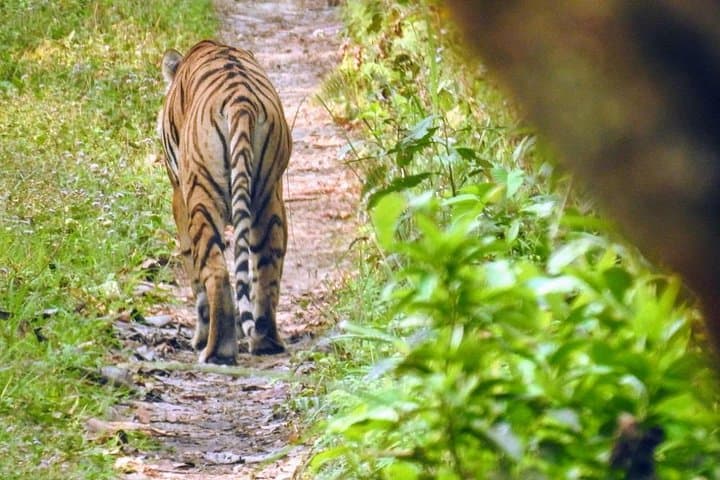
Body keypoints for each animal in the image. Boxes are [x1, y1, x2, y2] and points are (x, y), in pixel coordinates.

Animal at [158, 40, 291, 364]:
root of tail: (241, 102)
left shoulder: (179, 196)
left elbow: (193, 268)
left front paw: (199, 336)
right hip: (269, 198)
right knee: (267, 268)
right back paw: (265, 342)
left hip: (202, 198)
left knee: (216, 272)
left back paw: (216, 351)